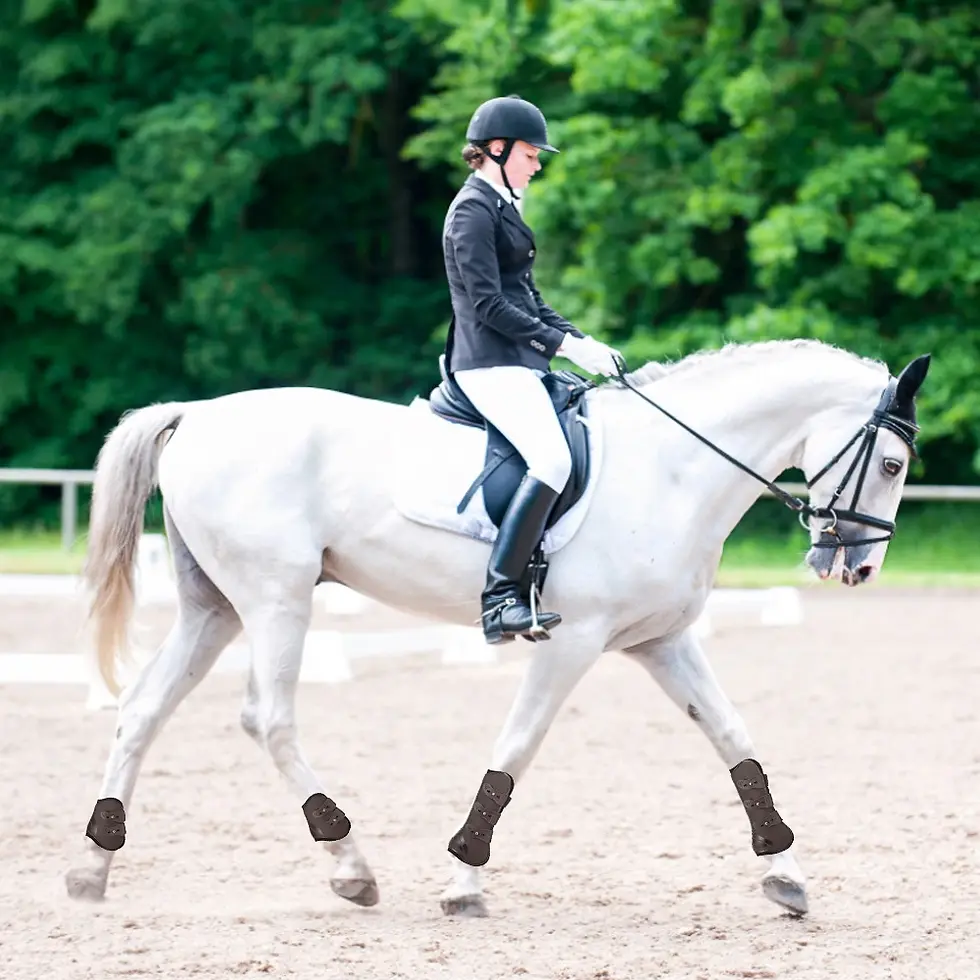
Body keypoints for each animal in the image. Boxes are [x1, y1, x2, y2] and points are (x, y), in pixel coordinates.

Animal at [64, 338, 930, 919]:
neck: (672, 470)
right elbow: (516, 749)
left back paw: (93, 865)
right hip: (276, 597)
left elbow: (734, 738)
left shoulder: (661, 640)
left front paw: (785, 872)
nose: (855, 569)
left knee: (142, 708)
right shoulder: (572, 640)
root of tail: (195, 416)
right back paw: (350, 864)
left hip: (213, 605)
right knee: (266, 717)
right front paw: (463, 880)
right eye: (891, 465)